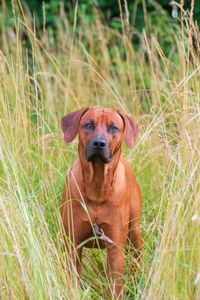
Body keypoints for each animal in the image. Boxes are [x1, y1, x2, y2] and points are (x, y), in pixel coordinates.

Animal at [60, 107, 141, 298]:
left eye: (113, 127)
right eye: (88, 124)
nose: (99, 143)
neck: (97, 189)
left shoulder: (115, 249)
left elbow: (116, 288)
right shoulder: (72, 245)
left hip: (135, 233)